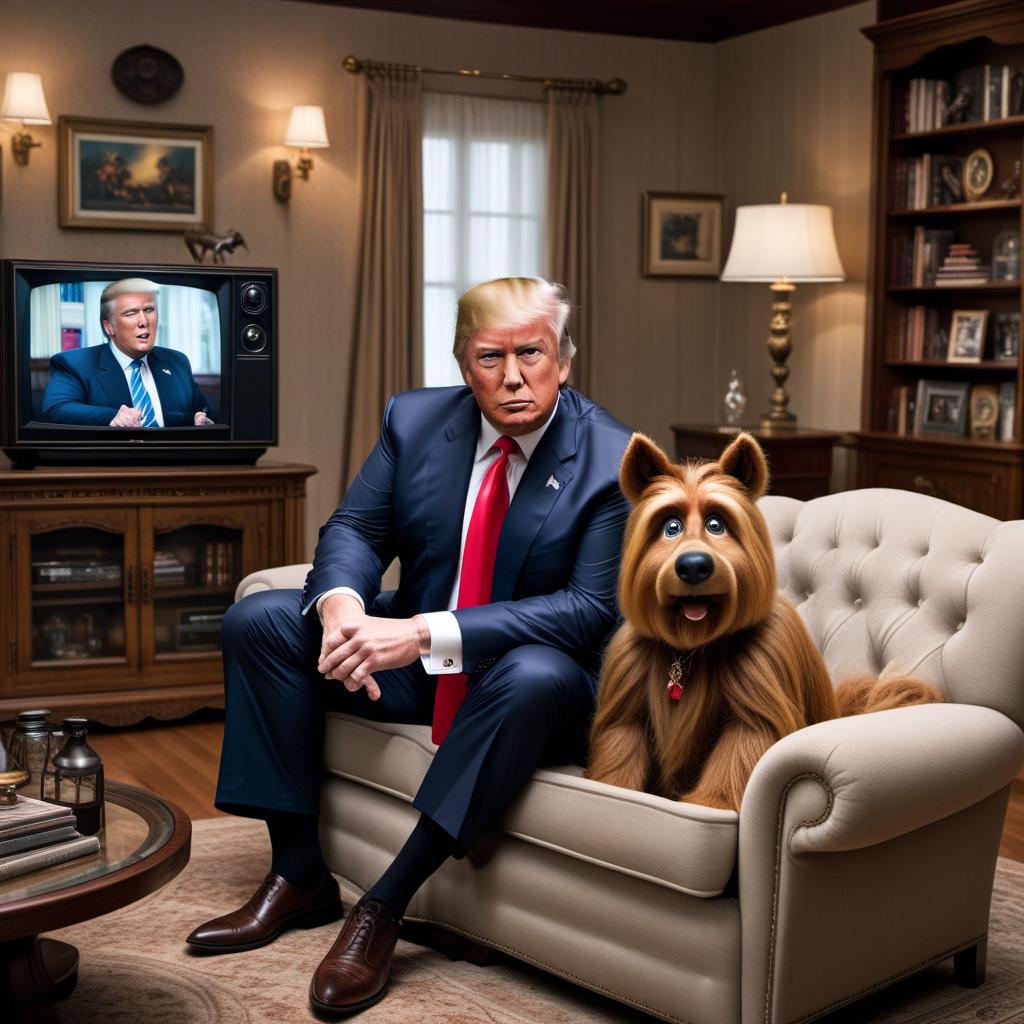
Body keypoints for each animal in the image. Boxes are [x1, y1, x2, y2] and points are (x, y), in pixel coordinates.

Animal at [589, 428, 937, 811]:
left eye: (716, 524)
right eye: (671, 526)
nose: (694, 565)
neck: (693, 646)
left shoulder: (759, 689)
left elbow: (737, 752)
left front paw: (709, 802)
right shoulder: (629, 701)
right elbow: (621, 754)